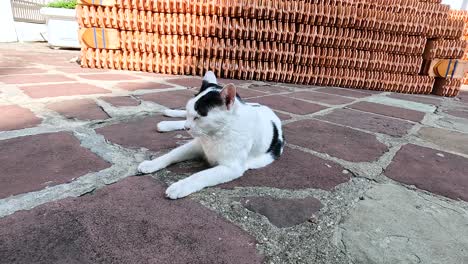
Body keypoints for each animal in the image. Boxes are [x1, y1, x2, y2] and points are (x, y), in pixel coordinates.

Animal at [138, 71, 286, 199]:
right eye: (190, 114)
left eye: (198, 117)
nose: (187, 127)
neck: (216, 134)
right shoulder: (196, 145)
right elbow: (172, 154)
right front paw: (151, 164)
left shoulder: (231, 168)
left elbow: (201, 175)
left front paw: (179, 186)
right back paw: (168, 118)